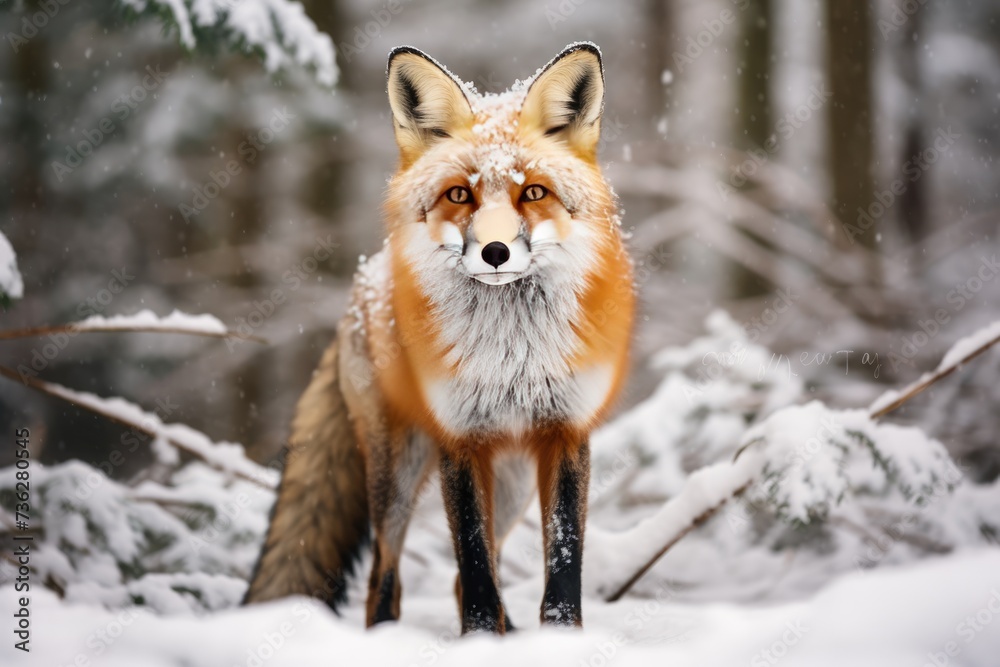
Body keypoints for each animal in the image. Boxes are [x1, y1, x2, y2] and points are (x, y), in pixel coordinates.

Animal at [244, 42, 634, 634]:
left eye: (533, 192)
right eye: (458, 194)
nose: (495, 252)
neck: (508, 356)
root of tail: (364, 280)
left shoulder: (566, 431)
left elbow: (562, 562)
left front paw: (560, 638)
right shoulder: (460, 437)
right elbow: (473, 564)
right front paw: (480, 640)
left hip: (513, 483)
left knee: (460, 577)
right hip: (397, 474)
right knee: (385, 577)